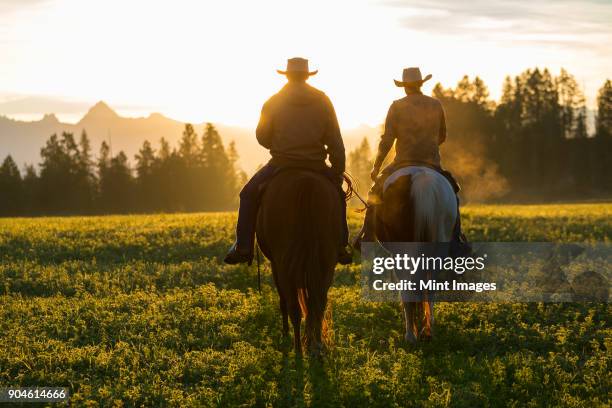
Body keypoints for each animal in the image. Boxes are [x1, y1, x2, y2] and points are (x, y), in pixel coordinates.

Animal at [255, 168, 344, 354]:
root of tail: (306, 184)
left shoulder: (276, 264)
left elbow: (283, 301)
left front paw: (285, 334)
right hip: (327, 260)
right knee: (318, 302)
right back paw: (316, 345)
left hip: (284, 263)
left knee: (294, 307)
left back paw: (297, 349)